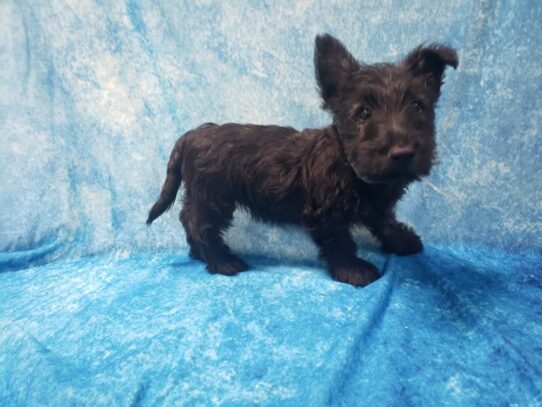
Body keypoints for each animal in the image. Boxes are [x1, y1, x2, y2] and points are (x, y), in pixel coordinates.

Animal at [148, 33, 460, 286]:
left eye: (418, 105)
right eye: (363, 112)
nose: (403, 153)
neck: (349, 162)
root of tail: (190, 135)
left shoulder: (377, 203)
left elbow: (385, 220)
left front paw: (401, 241)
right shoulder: (324, 212)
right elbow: (339, 241)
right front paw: (354, 271)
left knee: (189, 218)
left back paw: (200, 254)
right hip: (213, 196)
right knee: (198, 223)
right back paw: (221, 260)